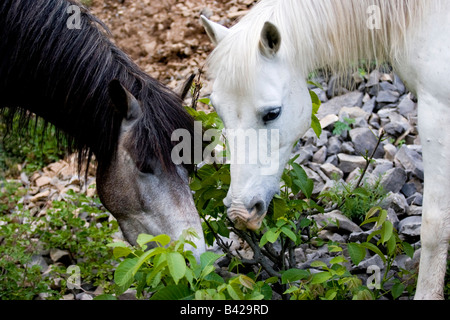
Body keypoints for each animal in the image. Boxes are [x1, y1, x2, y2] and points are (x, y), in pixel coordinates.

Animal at [201, 0, 450, 300]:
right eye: (218, 111)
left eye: (272, 113)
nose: (241, 212)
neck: (420, 14)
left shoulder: (438, 111)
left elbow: (435, 225)